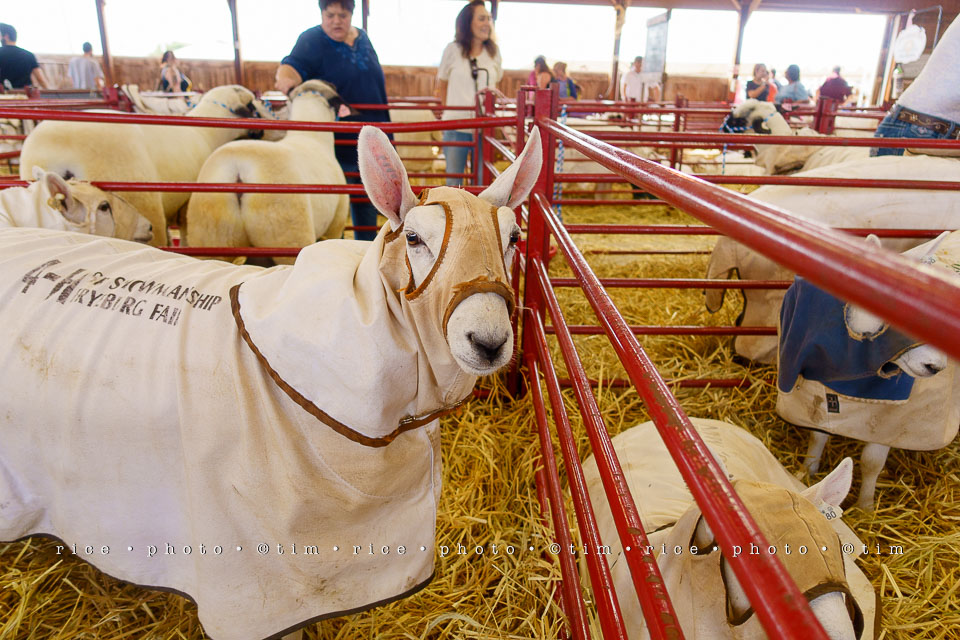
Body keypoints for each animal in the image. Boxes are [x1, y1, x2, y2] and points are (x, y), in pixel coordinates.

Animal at [18, 85, 278, 247]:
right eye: (254, 107)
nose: (276, 127)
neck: (208, 131)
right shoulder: (186, 202)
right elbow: (185, 234)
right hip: (144, 205)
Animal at [777, 233, 959, 510]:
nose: (936, 366)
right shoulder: (817, 395)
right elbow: (817, 438)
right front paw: (806, 472)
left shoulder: (887, 419)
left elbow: (872, 461)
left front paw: (865, 507)